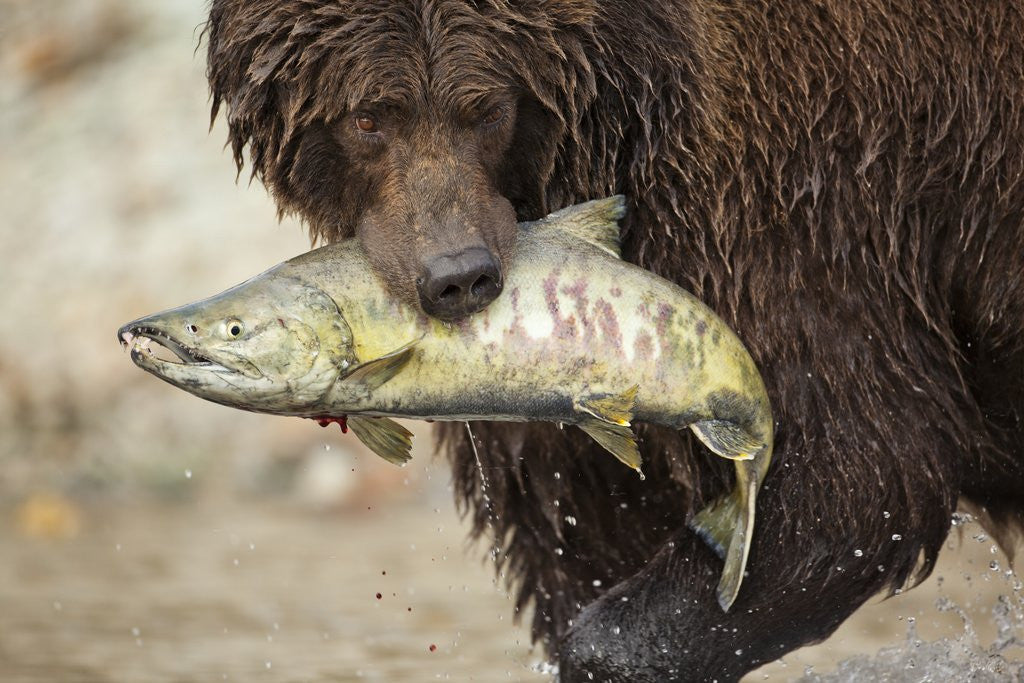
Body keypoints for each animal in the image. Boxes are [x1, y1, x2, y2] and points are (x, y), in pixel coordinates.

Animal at [205, 1, 1024, 680]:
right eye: (370, 118)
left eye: (487, 109)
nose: (459, 275)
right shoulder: (558, 374)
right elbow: (578, 524)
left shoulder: (793, 205)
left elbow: (855, 479)